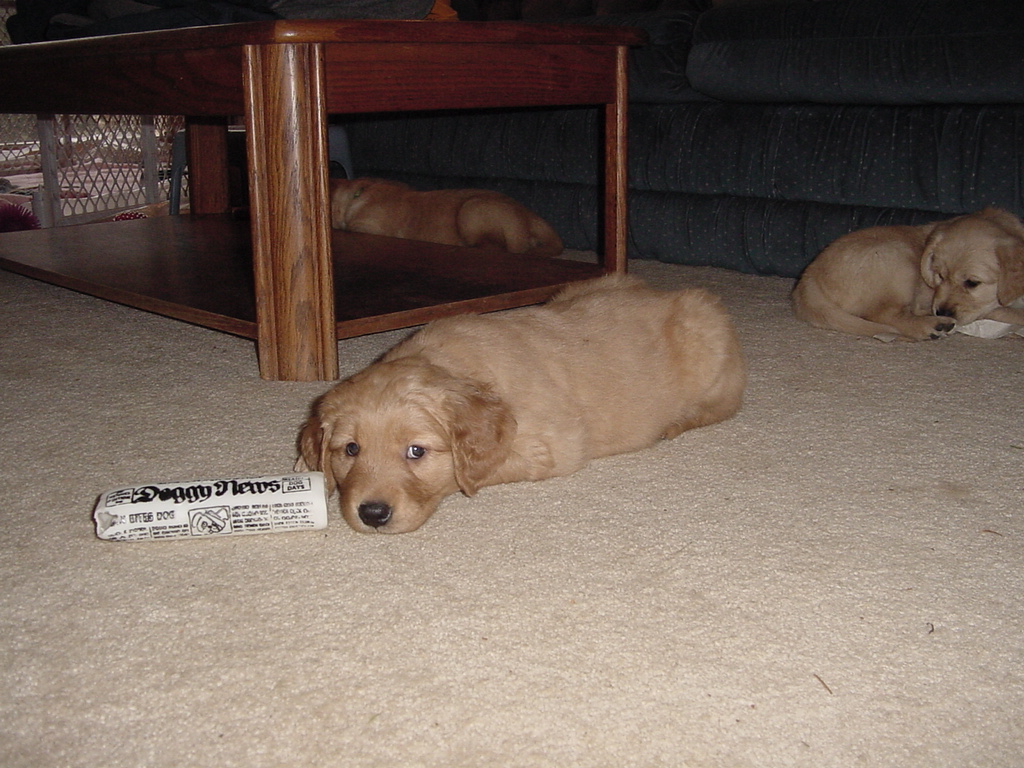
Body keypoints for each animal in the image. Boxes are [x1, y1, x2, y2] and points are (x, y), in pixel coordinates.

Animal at [296, 274, 745, 536]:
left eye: (416, 452)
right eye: (350, 449)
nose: (372, 514)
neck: (454, 366)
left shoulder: (553, 446)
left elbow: (471, 474)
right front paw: (306, 465)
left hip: (707, 335)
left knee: (727, 403)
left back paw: (677, 422)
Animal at [790, 210, 1024, 342]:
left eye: (972, 283)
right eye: (940, 275)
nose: (942, 311)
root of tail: (808, 277)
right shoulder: (991, 308)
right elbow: (1011, 312)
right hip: (897, 258)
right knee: (885, 315)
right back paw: (932, 326)